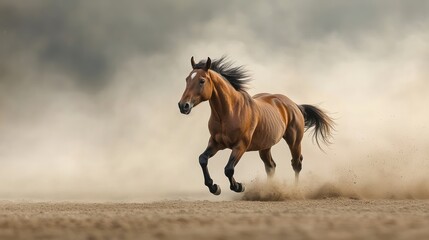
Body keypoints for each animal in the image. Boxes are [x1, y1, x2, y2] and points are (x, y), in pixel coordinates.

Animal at [177, 56, 334, 195]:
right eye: (187, 79)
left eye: (202, 81)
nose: (183, 105)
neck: (229, 113)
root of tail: (294, 105)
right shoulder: (216, 143)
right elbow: (202, 159)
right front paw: (214, 187)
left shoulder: (240, 146)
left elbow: (229, 169)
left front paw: (239, 186)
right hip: (265, 147)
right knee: (271, 166)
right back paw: (270, 191)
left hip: (294, 141)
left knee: (296, 164)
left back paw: (295, 190)